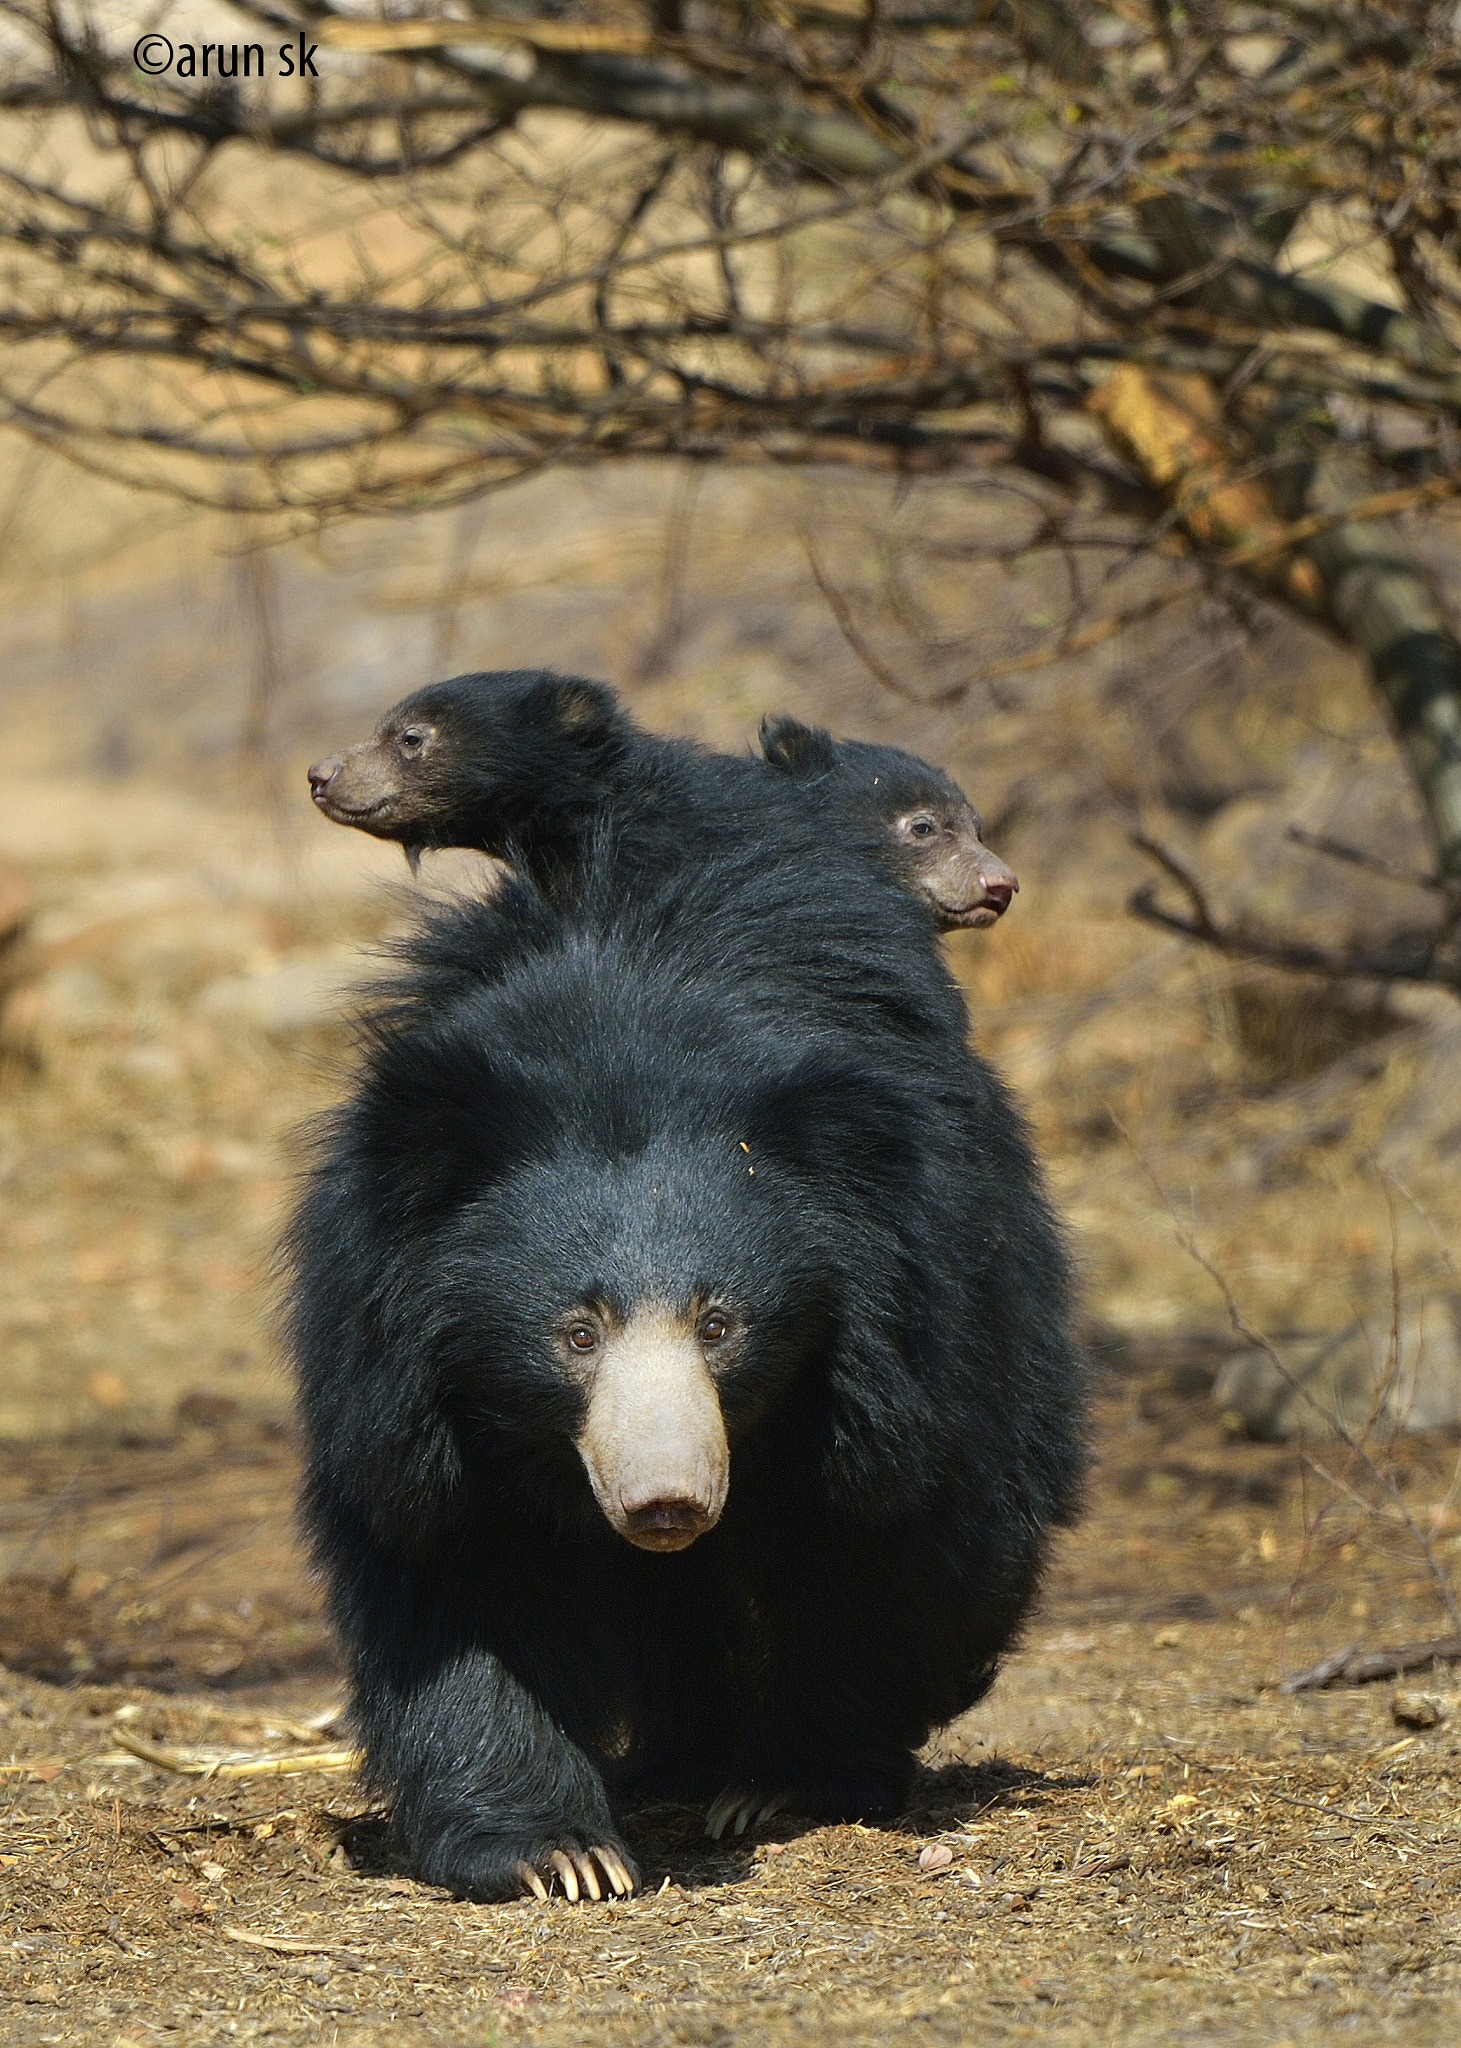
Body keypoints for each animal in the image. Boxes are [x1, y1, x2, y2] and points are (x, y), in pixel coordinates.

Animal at [290, 765, 1081, 1900]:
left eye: (719, 1323)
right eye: (577, 1333)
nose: (666, 1502)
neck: (627, 1051)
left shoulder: (909, 1325)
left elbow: (891, 1529)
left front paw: (789, 1783)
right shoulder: (400, 1375)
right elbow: (450, 1565)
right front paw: (555, 1851)